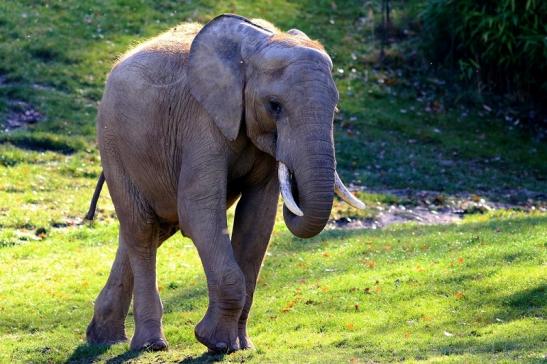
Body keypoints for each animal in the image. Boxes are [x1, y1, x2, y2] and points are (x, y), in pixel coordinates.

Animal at [84, 13, 364, 352]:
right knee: (142, 229)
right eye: (274, 105)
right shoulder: (202, 122)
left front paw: (240, 346)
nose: (296, 188)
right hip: (114, 145)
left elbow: (258, 218)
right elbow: (198, 209)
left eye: (335, 108)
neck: (256, 46)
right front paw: (215, 343)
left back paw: (103, 338)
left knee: (152, 229)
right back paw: (150, 345)